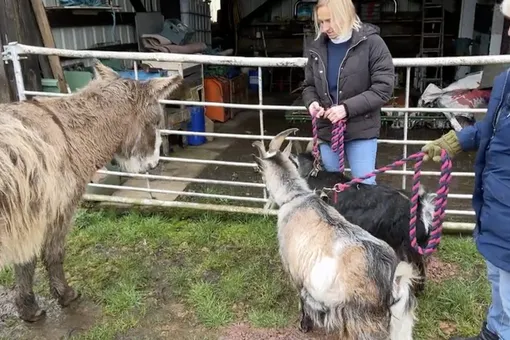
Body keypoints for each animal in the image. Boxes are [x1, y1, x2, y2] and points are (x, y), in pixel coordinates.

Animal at [0, 60, 183, 322]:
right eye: (156, 121)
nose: (154, 164)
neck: (69, 134)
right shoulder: (55, 211)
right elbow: (48, 254)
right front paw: (59, 297)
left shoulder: (28, 219)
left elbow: (25, 260)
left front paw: (27, 307)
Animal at [253, 129, 416, 338]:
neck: (295, 197)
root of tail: (394, 281)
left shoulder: (296, 274)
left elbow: (302, 301)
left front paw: (304, 325)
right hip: (400, 322)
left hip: (363, 320)